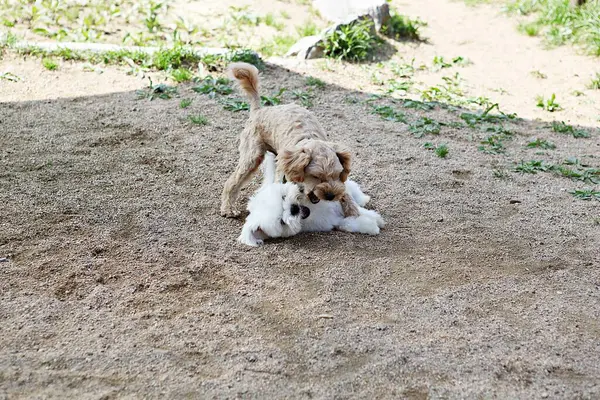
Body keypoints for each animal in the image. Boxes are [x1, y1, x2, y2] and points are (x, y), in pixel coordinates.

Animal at [221, 62, 358, 219]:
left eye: (337, 175)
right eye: (316, 176)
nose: (330, 196)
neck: (308, 138)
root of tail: (259, 110)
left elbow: (345, 192)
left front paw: (353, 211)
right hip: (251, 157)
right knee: (232, 182)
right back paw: (228, 208)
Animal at [238, 153, 384, 247]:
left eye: (283, 197)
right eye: (281, 222)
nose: (294, 208)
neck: (312, 210)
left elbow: (357, 210)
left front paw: (376, 218)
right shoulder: (332, 222)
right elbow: (348, 224)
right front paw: (371, 225)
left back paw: (362, 198)